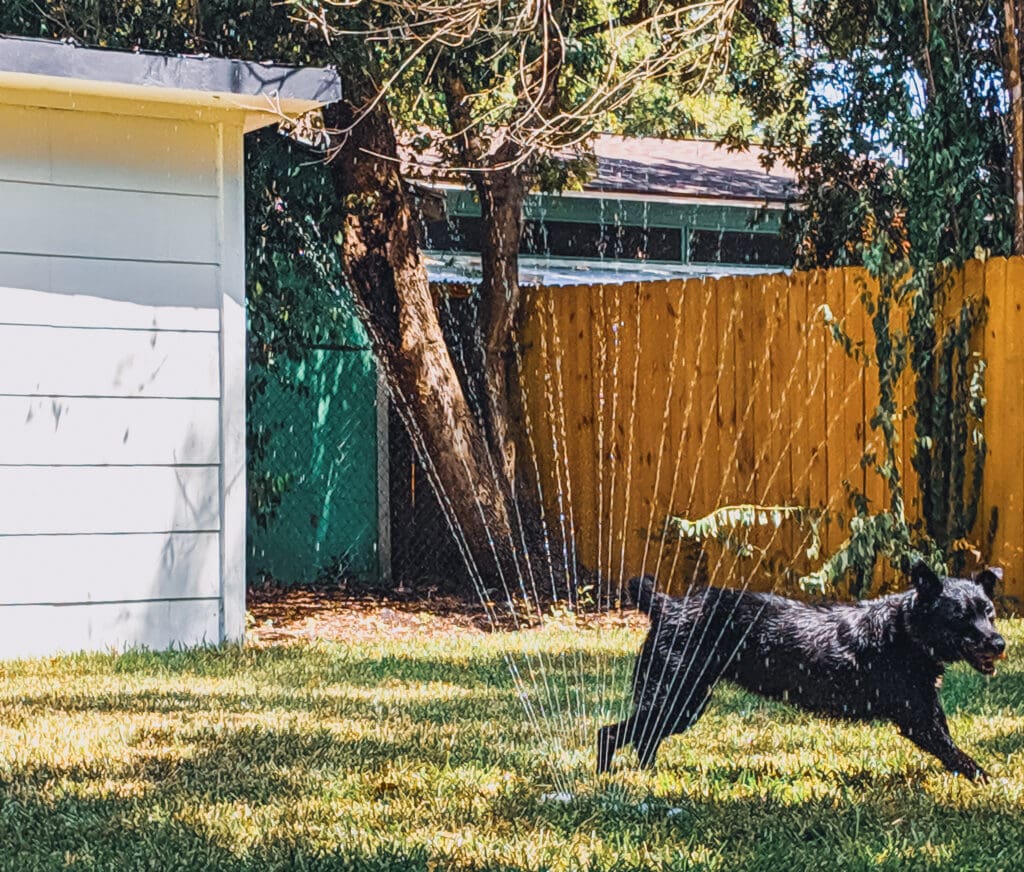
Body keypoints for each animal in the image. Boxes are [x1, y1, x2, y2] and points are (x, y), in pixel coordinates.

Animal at [598, 560, 1007, 781]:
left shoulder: (929, 711)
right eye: (959, 617)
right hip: (677, 697)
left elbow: (952, 748)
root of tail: (667, 605)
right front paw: (990, 784)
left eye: (989, 612)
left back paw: (648, 776)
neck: (904, 630)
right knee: (612, 733)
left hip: (682, 703)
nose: (1000, 643)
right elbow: (958, 756)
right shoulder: (917, 720)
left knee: (644, 738)